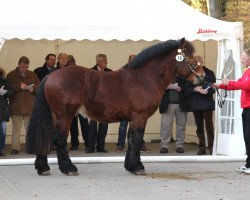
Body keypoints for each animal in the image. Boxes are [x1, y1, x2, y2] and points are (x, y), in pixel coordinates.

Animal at [26, 37, 204, 175]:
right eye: (189, 56)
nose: (202, 77)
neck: (144, 78)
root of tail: (50, 76)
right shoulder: (140, 116)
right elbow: (137, 140)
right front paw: (137, 167)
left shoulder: (133, 118)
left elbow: (131, 139)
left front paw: (130, 166)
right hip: (65, 115)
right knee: (58, 139)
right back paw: (69, 168)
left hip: (54, 115)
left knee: (44, 136)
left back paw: (43, 168)